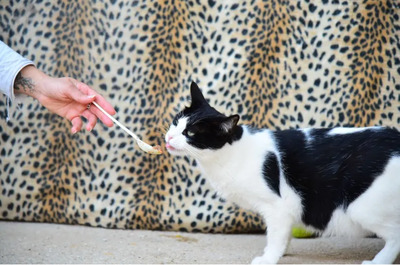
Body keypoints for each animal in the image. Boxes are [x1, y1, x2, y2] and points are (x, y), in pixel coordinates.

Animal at [165, 81, 400, 262]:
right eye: (175, 122)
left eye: (190, 133)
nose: (168, 137)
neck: (231, 153)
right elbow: (284, 236)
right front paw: (281, 253)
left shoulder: (278, 207)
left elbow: (276, 236)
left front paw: (269, 258)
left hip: (361, 207)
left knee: (395, 236)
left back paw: (377, 262)